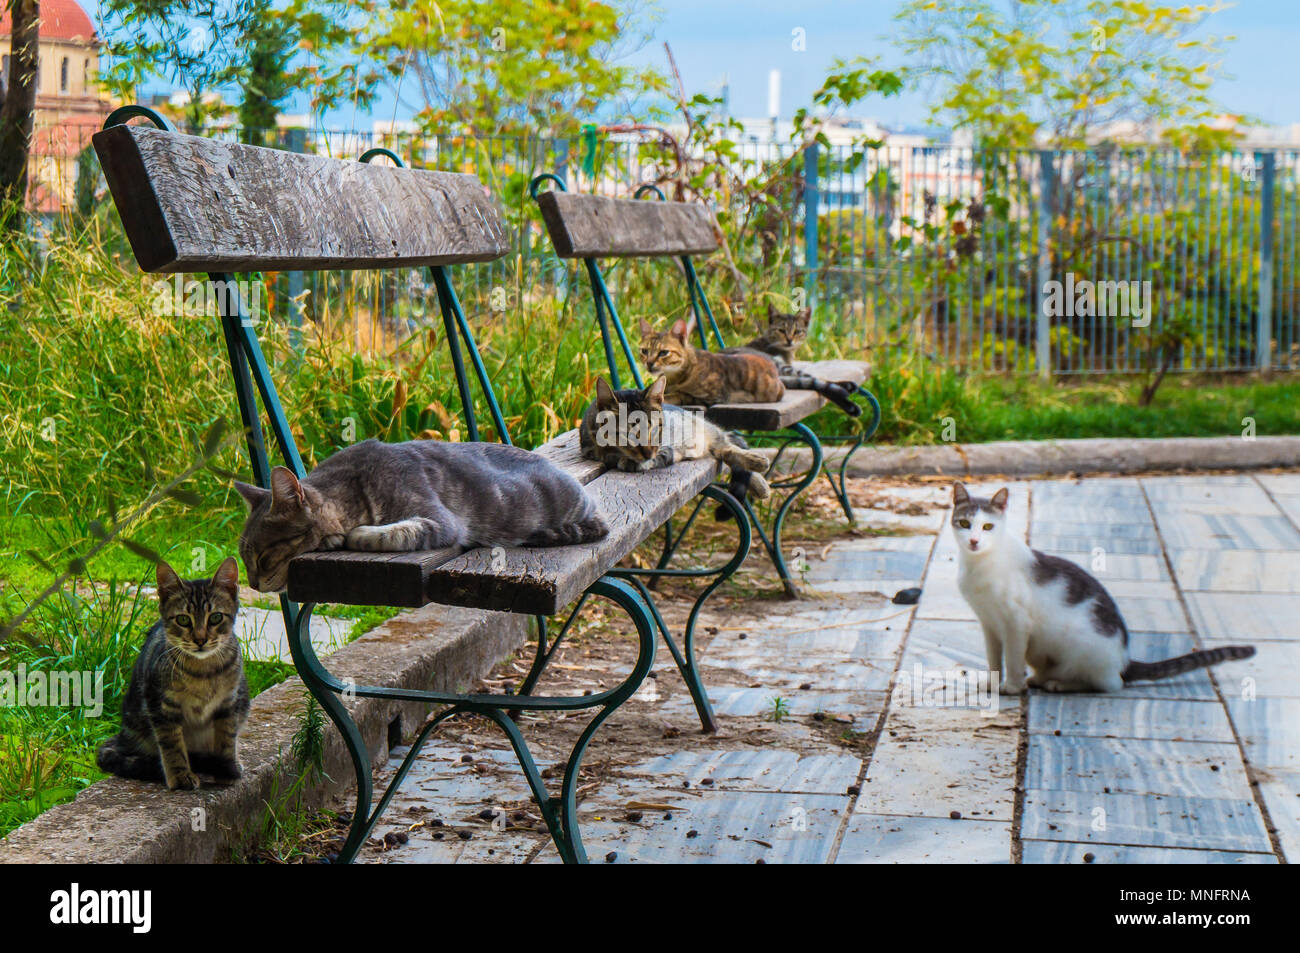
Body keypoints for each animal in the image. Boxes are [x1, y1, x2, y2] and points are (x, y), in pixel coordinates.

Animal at [96, 556, 248, 790]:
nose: (200, 639)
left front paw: (226, 767)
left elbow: (227, 738)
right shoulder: (161, 705)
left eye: (215, 617)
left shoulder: (229, 704)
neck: (203, 672)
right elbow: (171, 745)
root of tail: (121, 737)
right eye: (183, 620)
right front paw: (180, 775)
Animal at [235, 439, 608, 595]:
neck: (352, 482)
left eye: (264, 558)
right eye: (244, 560)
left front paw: (352, 535)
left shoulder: (441, 522)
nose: (251, 584)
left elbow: (391, 531)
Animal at [951, 483, 1253, 691]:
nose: (974, 541)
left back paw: (1061, 684)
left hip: (1080, 646)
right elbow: (994, 658)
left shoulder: (1016, 623)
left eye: (988, 527)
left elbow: (1013, 660)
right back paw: (1040, 679)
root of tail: (1124, 659)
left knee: (1108, 684)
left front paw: (1012, 688)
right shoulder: (990, 624)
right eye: (965, 523)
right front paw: (993, 684)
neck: (979, 565)